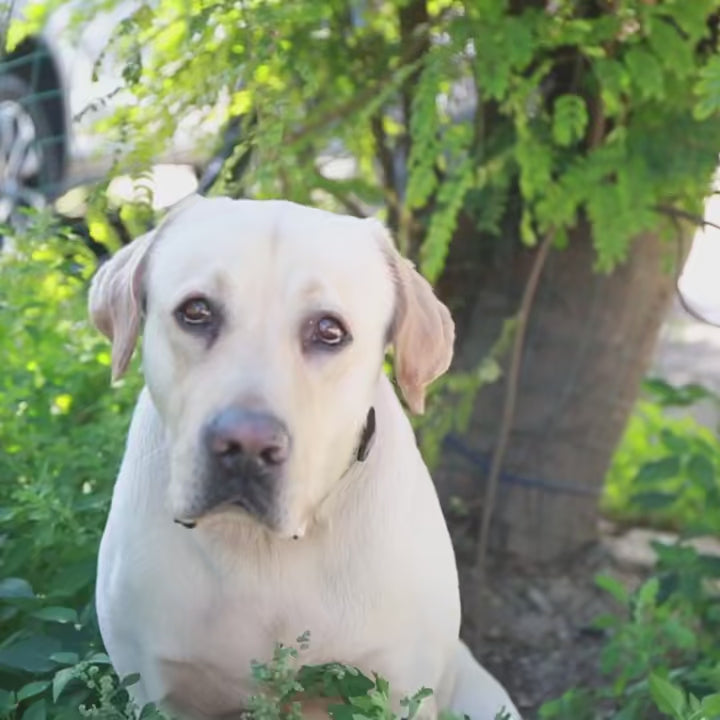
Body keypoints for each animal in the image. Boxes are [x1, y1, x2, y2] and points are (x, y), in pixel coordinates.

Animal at [90, 197, 520, 720]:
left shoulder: (401, 688)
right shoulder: (151, 686)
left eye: (329, 330)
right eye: (196, 311)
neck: (261, 545)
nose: (246, 446)